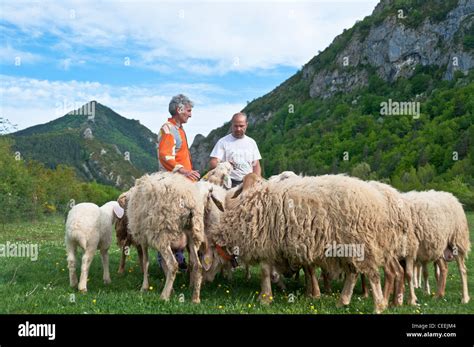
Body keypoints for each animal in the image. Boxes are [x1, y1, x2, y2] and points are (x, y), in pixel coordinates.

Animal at [209, 175, 398, 314]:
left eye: (210, 252)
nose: (208, 279)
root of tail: (378, 201)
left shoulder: (265, 245)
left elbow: (264, 272)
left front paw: (264, 298)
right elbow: (271, 272)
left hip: (362, 243)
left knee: (372, 275)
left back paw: (379, 306)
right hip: (349, 247)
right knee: (353, 273)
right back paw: (342, 302)